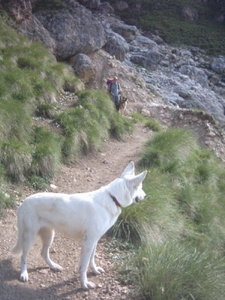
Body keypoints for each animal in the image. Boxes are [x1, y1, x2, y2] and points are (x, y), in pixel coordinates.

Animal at [11, 163, 148, 290]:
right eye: (140, 187)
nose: (146, 196)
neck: (112, 198)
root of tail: (23, 203)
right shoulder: (88, 242)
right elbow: (84, 266)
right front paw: (85, 284)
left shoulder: (94, 241)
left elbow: (91, 260)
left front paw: (95, 271)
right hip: (30, 237)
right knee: (23, 256)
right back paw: (24, 273)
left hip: (49, 236)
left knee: (43, 253)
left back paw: (53, 266)